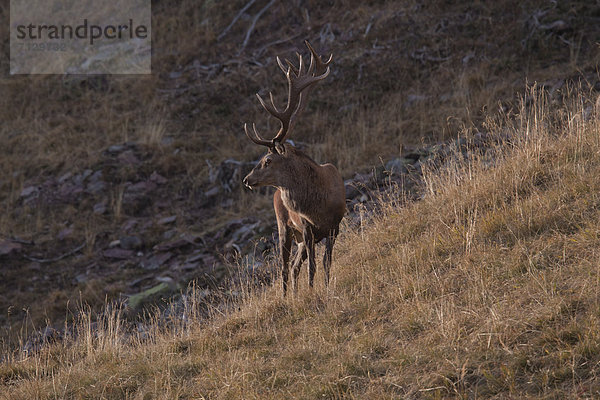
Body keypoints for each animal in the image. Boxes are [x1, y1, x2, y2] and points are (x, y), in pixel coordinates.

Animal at [243, 41, 346, 296]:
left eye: (267, 160)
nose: (247, 179)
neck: (319, 207)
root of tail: (277, 193)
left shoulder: (335, 226)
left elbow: (326, 262)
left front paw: (325, 288)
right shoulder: (308, 228)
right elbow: (313, 266)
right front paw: (312, 291)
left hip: (300, 237)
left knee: (293, 267)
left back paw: (295, 293)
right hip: (284, 226)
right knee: (284, 267)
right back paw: (286, 296)